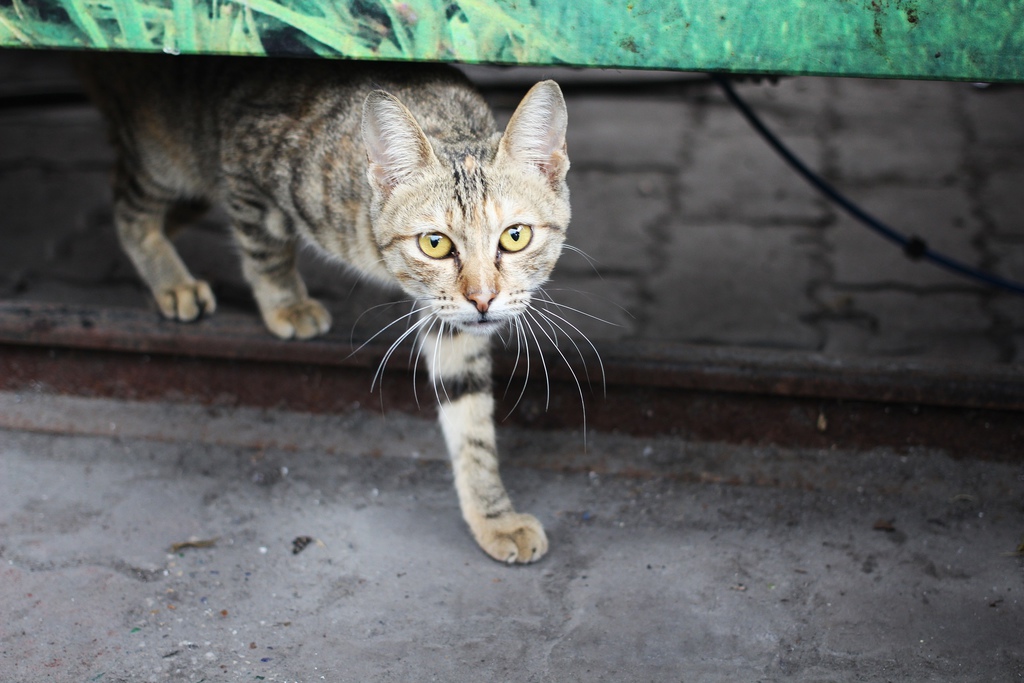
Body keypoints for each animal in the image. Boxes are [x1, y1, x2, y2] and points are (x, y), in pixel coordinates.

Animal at [75, 53, 573, 565]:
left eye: (515, 236)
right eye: (434, 243)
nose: (482, 297)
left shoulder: (450, 319)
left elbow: (468, 418)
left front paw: (492, 515)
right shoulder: (245, 160)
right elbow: (266, 249)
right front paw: (287, 304)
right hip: (169, 157)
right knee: (127, 205)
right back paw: (172, 281)